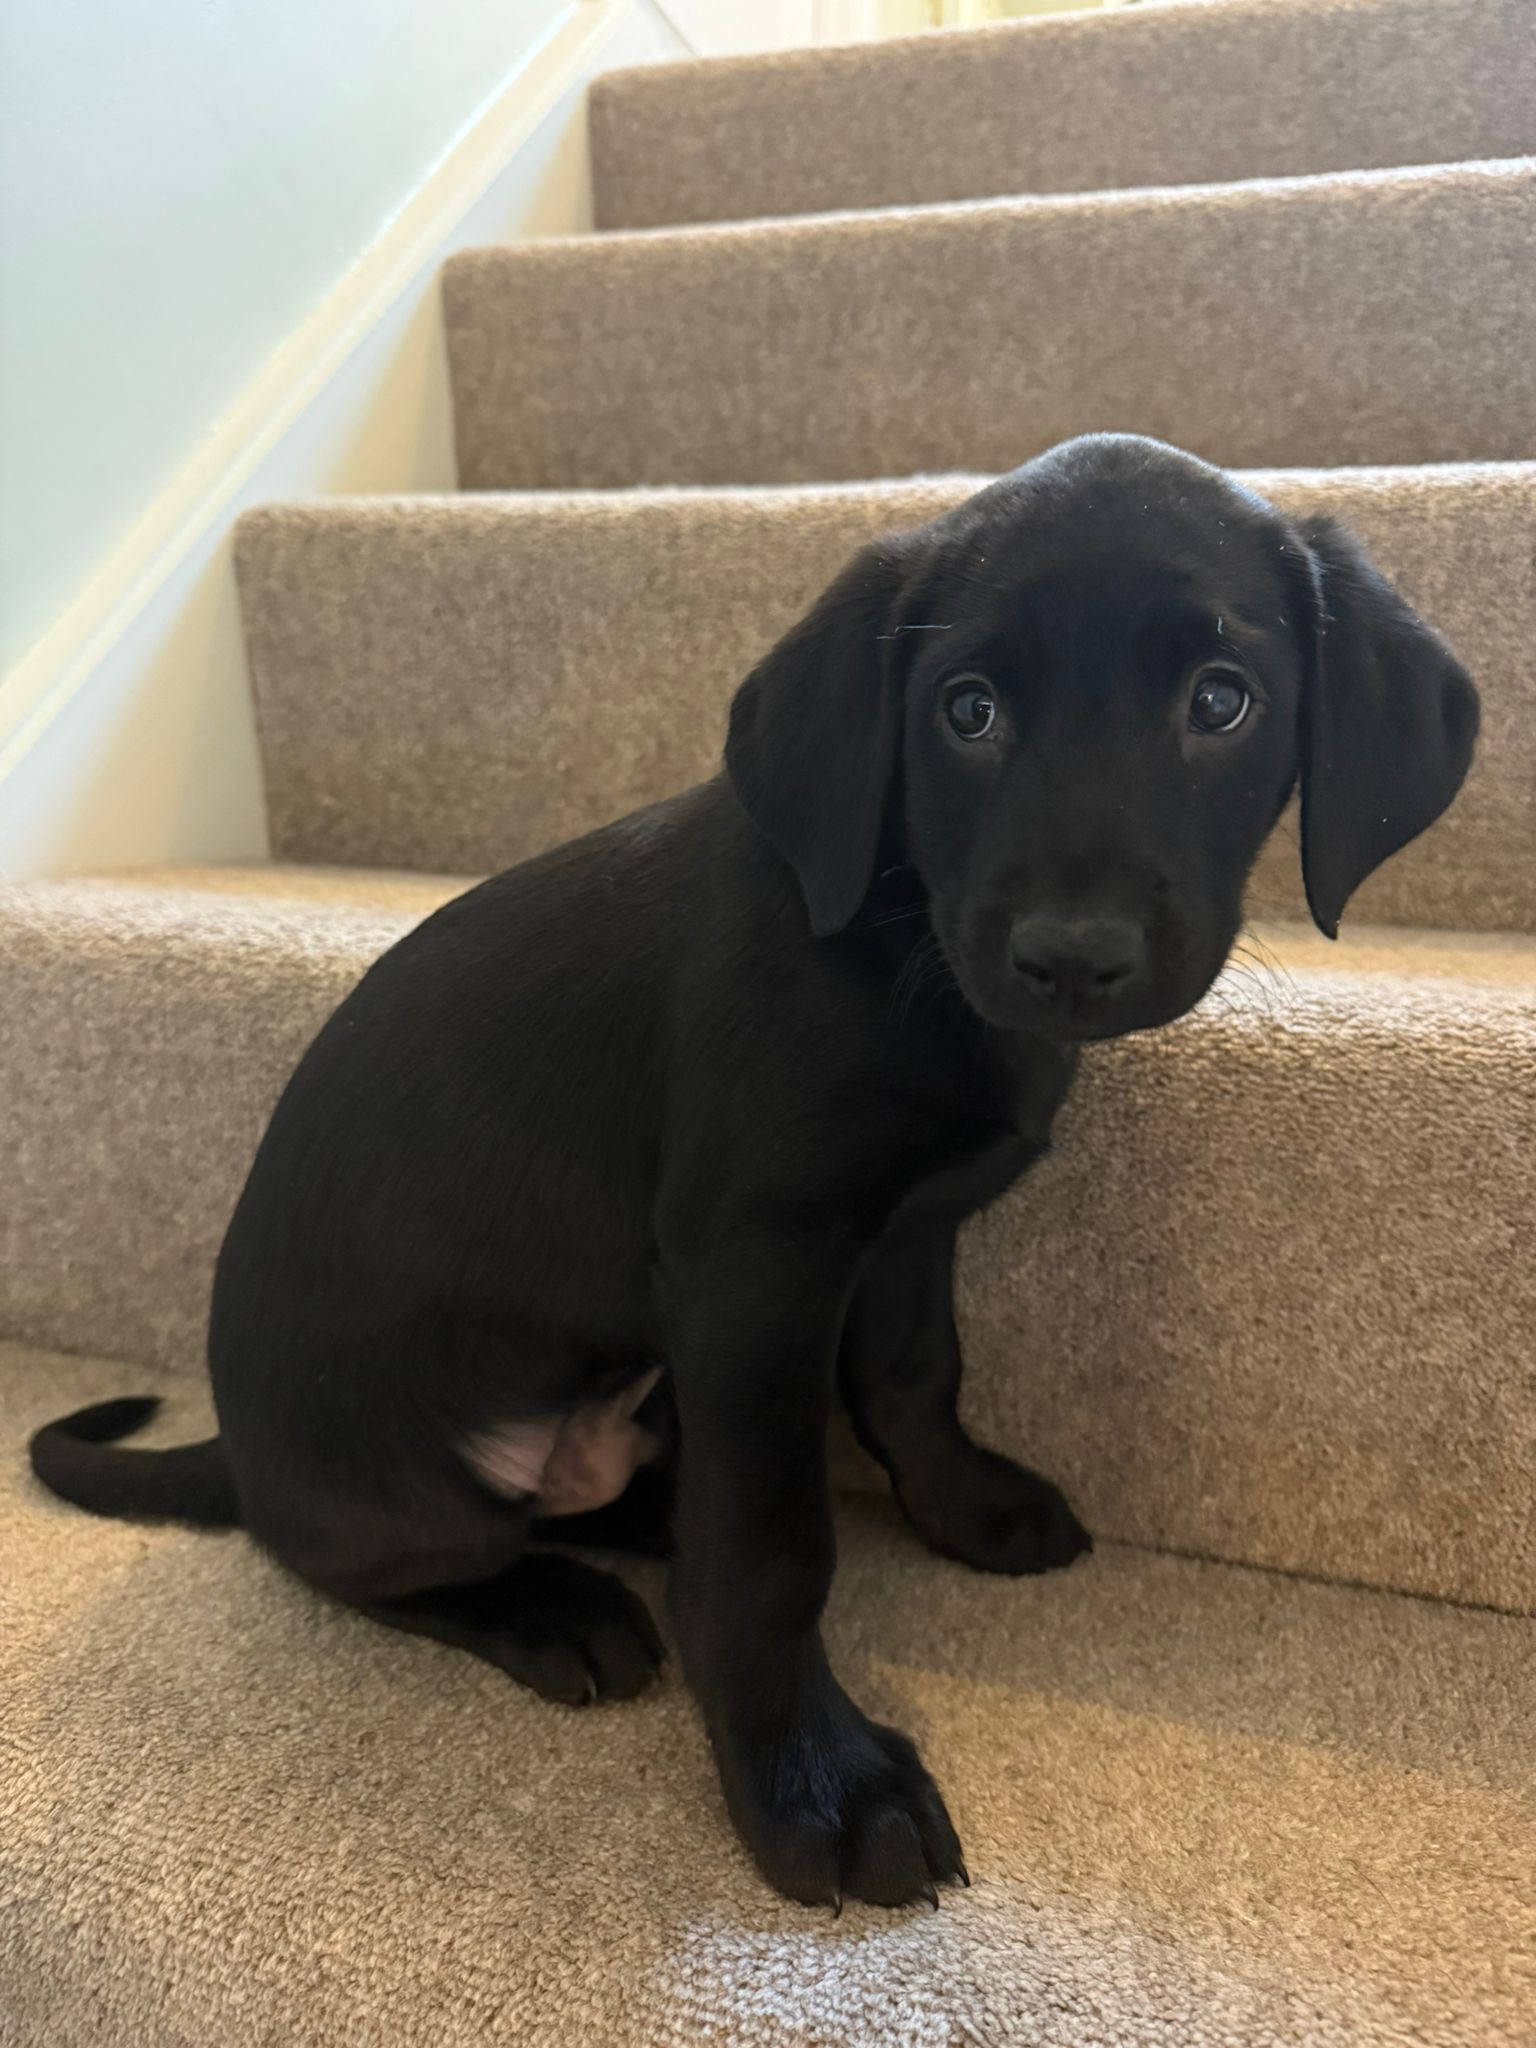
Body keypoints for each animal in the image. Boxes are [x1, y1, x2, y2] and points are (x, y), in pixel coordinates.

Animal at [33, 440, 1482, 1908]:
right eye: (966, 711)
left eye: (1222, 699)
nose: (1073, 956)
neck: (900, 936)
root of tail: (240, 1448)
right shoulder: (755, 1266)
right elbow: (772, 1550)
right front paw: (816, 1782)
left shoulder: (906, 1231)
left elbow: (912, 1380)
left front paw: (964, 1508)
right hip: (406, 1488)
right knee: (372, 1562)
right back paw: (555, 1607)